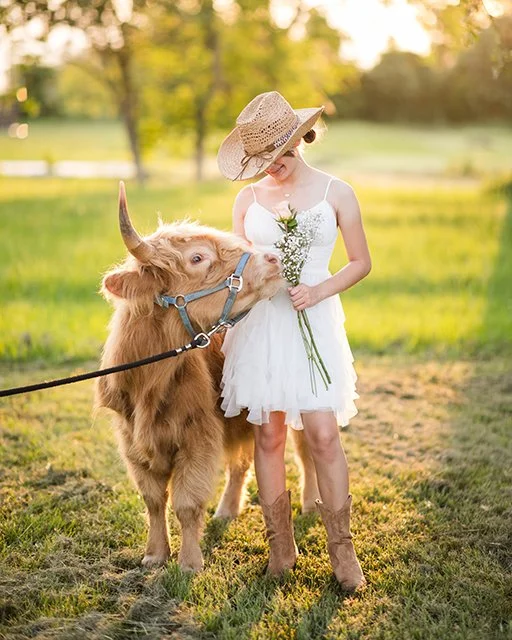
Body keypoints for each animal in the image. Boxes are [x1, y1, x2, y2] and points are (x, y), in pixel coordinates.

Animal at [95, 183, 320, 572]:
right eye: (197, 258)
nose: (273, 259)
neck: (148, 385)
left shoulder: (197, 437)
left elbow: (186, 502)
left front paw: (189, 562)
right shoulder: (131, 442)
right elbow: (153, 500)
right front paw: (154, 555)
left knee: (306, 453)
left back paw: (309, 503)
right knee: (242, 462)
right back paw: (227, 510)